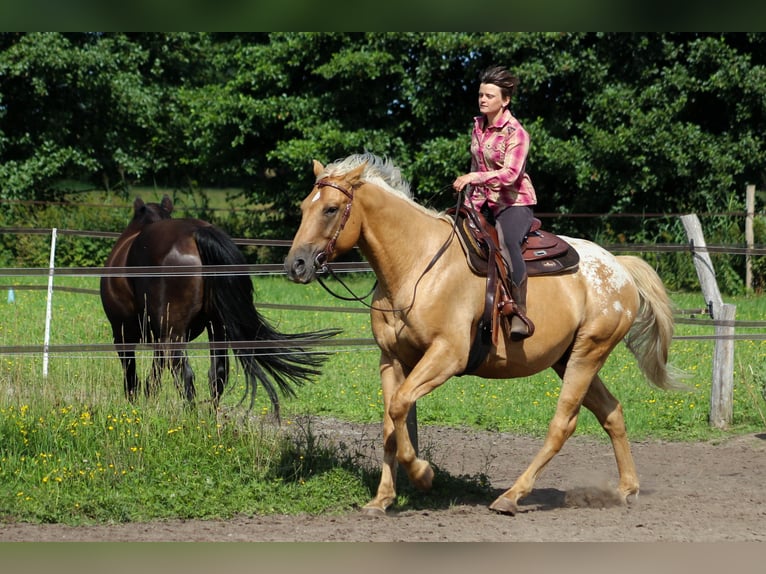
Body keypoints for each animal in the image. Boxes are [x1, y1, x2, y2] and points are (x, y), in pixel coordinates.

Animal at [100, 195, 338, 417]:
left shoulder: (124, 335)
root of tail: (196, 233)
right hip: (216, 326)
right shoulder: (159, 337)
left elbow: (132, 375)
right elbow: (155, 374)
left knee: (185, 374)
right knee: (218, 374)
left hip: (174, 333)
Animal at [284, 152, 684, 516]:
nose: (295, 265)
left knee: (563, 423)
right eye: (305, 207)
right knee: (612, 412)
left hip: (589, 352)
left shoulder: (447, 355)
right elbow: (389, 423)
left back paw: (512, 496)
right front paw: (382, 499)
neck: (417, 266)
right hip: (568, 358)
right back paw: (626, 489)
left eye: (331, 209)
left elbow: (399, 406)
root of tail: (620, 267)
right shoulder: (391, 359)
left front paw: (423, 475)